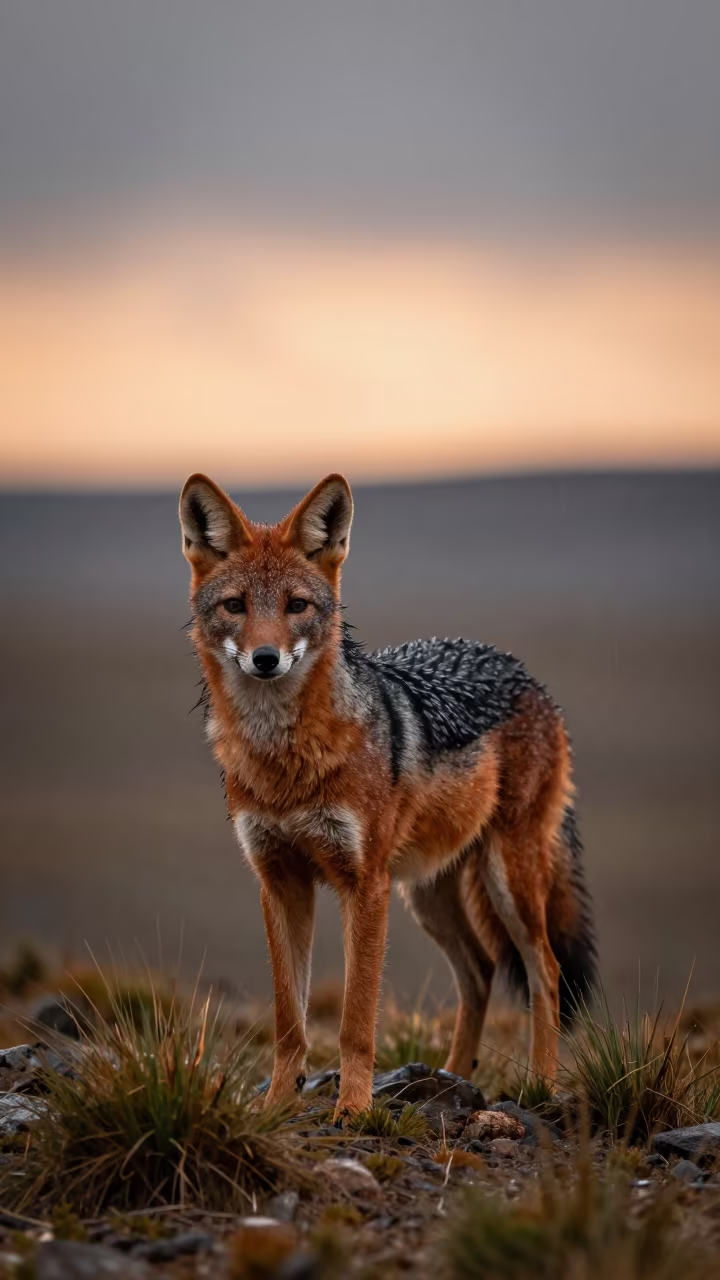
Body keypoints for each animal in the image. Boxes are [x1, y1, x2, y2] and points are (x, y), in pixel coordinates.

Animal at [180, 471, 596, 1119]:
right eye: (236, 606)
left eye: (296, 606)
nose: (265, 659)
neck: (286, 760)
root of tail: (527, 675)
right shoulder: (279, 881)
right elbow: (289, 1020)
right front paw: (275, 1105)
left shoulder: (364, 884)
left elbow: (356, 1019)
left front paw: (353, 1109)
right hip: (428, 894)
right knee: (478, 972)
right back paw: (452, 1077)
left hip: (506, 880)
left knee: (545, 971)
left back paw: (542, 1086)